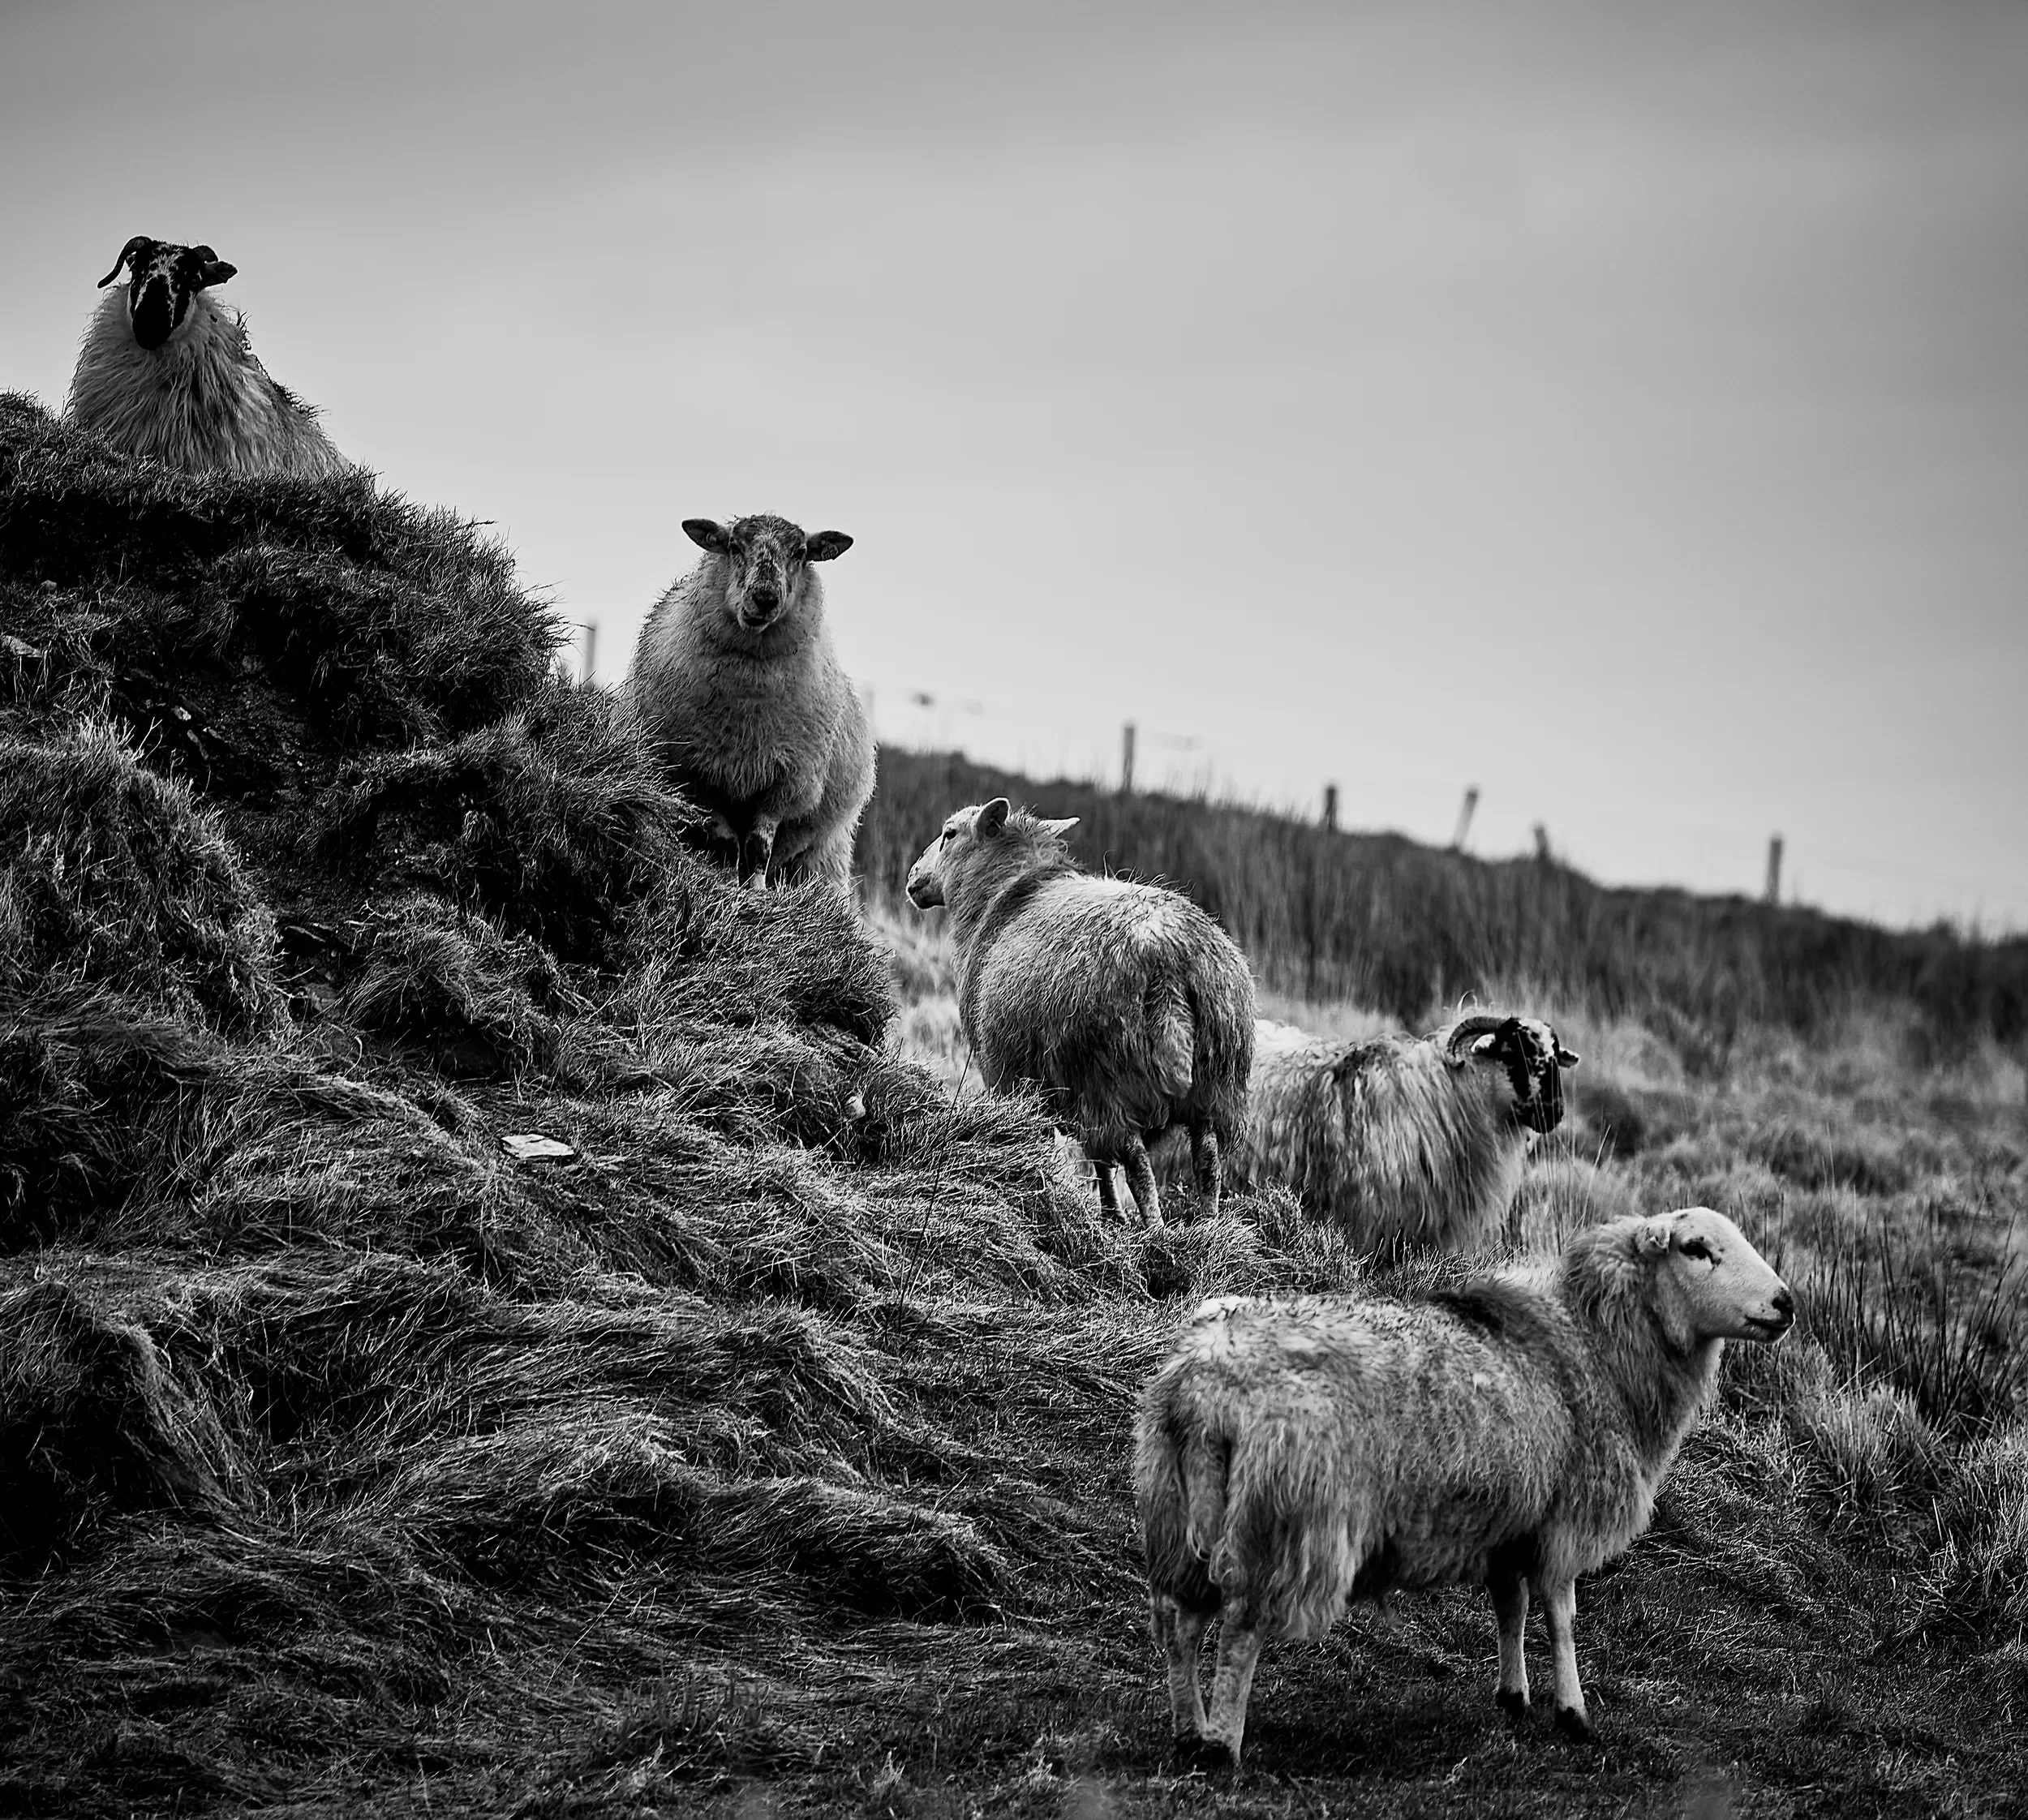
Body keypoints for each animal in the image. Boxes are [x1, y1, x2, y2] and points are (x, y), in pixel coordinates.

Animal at [621, 515, 872, 890]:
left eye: (800, 553)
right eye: (734, 546)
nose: (765, 598)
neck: (748, 709)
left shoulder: (787, 781)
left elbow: (758, 846)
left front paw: (756, 890)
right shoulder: (700, 773)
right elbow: (725, 842)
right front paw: (725, 882)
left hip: (824, 854)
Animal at [904, 798, 1255, 1225]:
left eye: (949, 833)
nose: (914, 876)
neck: (1001, 893)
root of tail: (1169, 964)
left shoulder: (1007, 1076)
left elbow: (1043, 1143)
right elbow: (1102, 1163)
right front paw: (1111, 1215)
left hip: (1103, 1076)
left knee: (1136, 1164)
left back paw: (1156, 1230)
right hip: (1217, 1082)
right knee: (1207, 1159)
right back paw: (1207, 1226)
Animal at [1134, 1205, 1796, 1766]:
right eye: (1696, 1248)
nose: (1786, 1303)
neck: (1593, 1341)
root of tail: (1207, 1385)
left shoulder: (1511, 1522)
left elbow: (1510, 1605)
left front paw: (1513, 1697)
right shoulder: (1564, 1519)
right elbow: (1560, 1614)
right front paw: (1573, 1712)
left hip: (1178, 1511)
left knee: (1178, 1623)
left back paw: (1189, 1730)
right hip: (1283, 1519)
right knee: (1240, 1628)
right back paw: (1223, 1745)